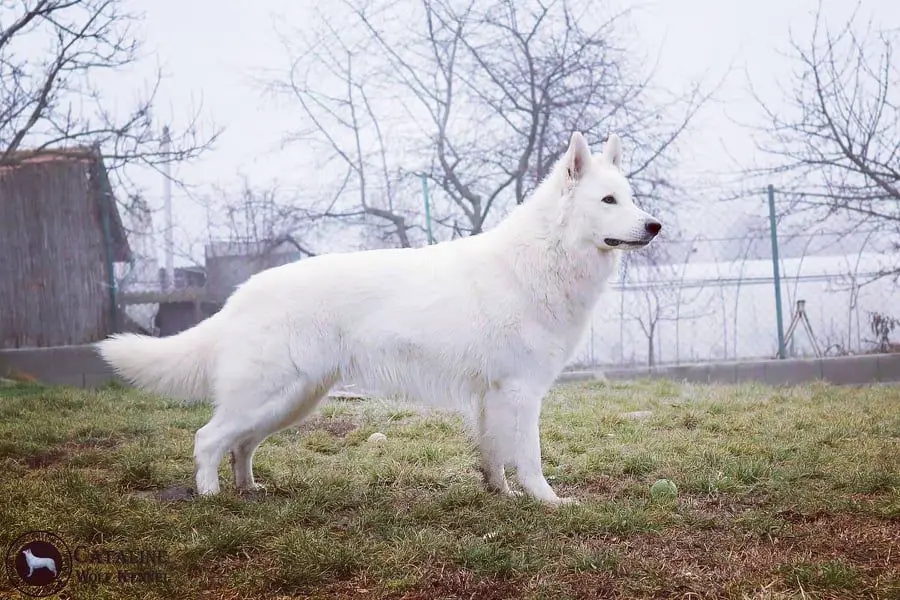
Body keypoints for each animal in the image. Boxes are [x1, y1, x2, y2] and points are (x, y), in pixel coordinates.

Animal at [97, 132, 661, 505]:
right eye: (608, 200)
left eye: (631, 198)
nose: (655, 225)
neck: (545, 256)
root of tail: (242, 293)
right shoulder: (521, 392)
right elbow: (530, 458)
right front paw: (549, 503)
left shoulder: (491, 397)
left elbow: (494, 455)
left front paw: (499, 495)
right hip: (269, 394)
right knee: (208, 438)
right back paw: (212, 497)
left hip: (291, 401)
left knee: (241, 445)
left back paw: (250, 490)